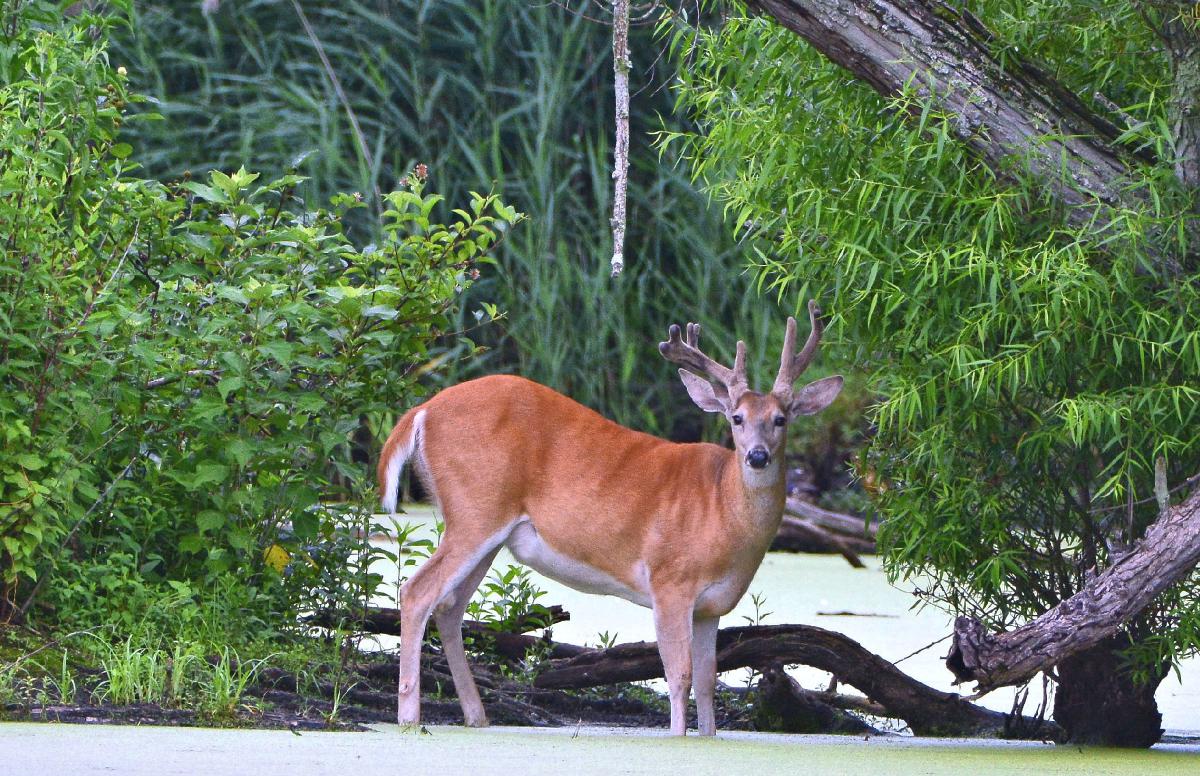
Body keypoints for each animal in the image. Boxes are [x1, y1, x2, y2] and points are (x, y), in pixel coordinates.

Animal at [376, 301, 844, 738]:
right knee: (417, 592)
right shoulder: (670, 581)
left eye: (780, 419)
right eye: (736, 418)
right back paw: (409, 718)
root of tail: (422, 410)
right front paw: (678, 739)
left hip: (487, 530)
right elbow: (679, 676)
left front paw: (707, 737)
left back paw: (476, 717)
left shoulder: (711, 607)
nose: (758, 456)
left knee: (449, 607)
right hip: (475, 510)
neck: (721, 508)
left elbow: (708, 681)